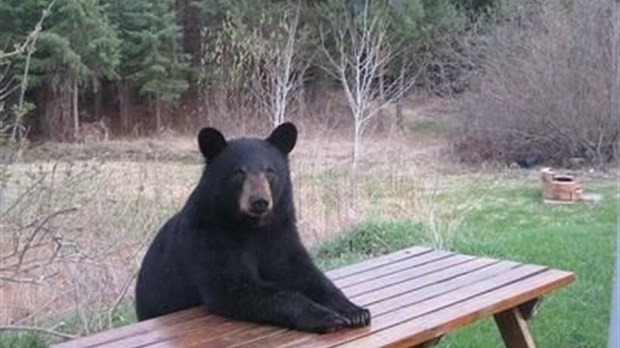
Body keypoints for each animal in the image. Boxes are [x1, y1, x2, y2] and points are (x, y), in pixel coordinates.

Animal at [134, 123, 368, 334]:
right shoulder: (210, 238)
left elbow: (307, 273)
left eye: (269, 171)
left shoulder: (281, 234)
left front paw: (354, 311)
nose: (259, 201)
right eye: (239, 172)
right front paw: (324, 316)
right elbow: (237, 287)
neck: (253, 228)